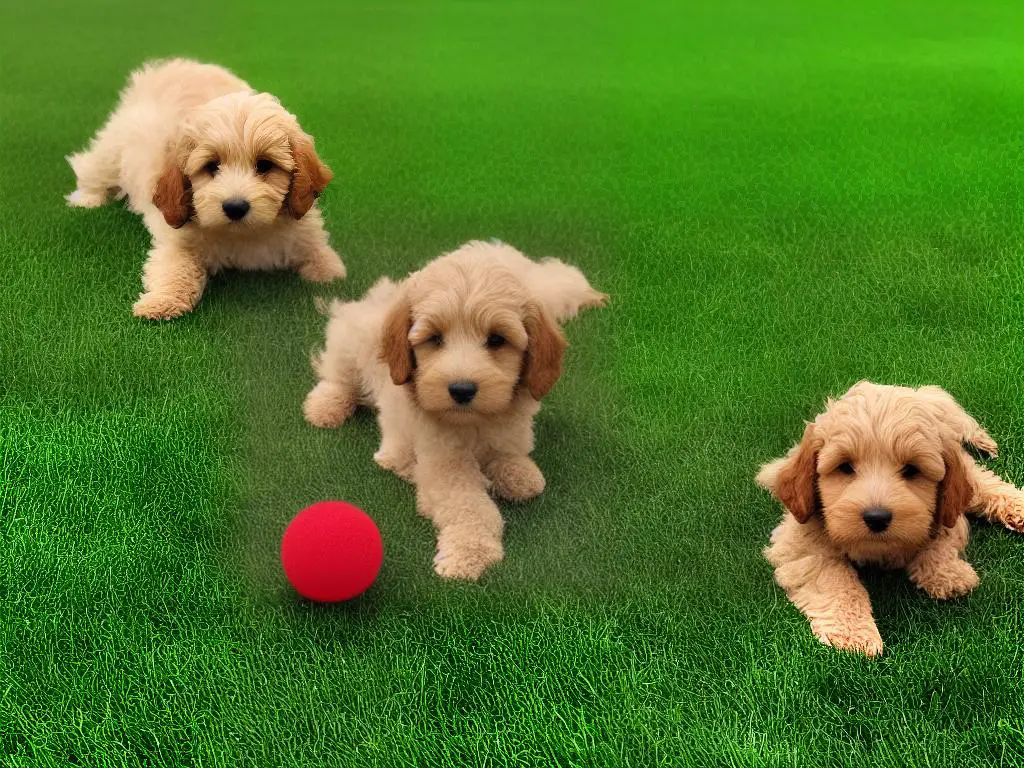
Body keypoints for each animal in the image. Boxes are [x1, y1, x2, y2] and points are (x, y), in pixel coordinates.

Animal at [65, 57, 344, 319]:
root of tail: (173, 66)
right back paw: (88, 199)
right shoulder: (177, 237)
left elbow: (322, 256)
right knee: (91, 168)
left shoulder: (305, 230)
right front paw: (162, 301)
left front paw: (332, 276)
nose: (235, 207)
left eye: (265, 165)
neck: (244, 234)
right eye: (212, 166)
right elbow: (177, 267)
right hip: (111, 152)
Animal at [303, 240, 606, 581]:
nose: (462, 389)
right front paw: (469, 552)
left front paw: (519, 474)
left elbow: (511, 458)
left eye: (497, 339)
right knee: (337, 377)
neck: (474, 424)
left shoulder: (509, 432)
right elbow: (470, 504)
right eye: (435, 338)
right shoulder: (443, 462)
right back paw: (326, 407)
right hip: (350, 345)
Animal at [757, 382, 1024, 659]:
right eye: (845, 467)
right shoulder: (799, 537)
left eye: (912, 470)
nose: (877, 517)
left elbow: (941, 536)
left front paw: (948, 574)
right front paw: (854, 633)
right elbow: (833, 574)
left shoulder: (947, 512)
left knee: (983, 483)